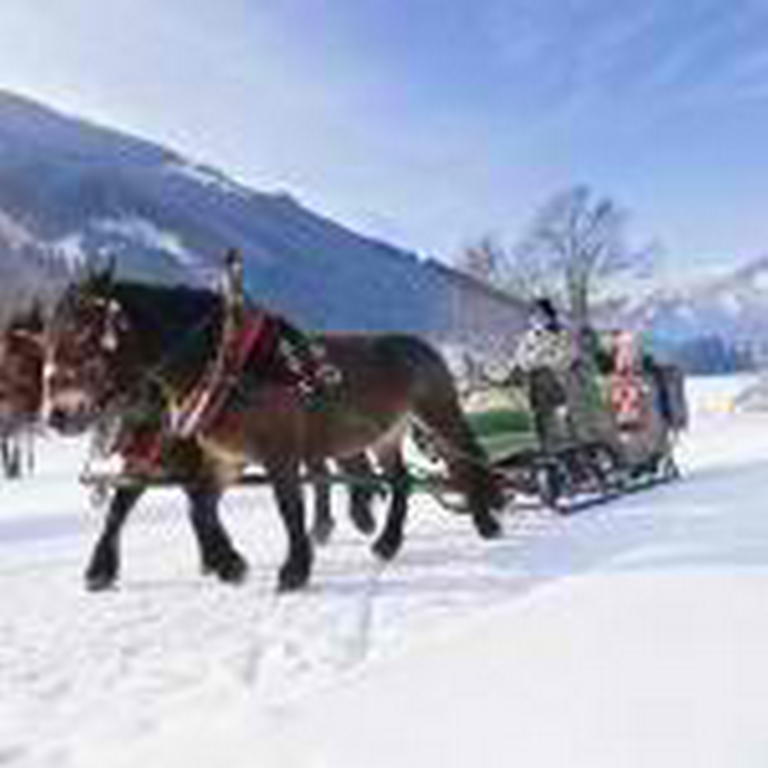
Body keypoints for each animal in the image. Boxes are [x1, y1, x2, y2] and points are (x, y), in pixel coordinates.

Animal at [46, 272, 504, 592]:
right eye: (49, 337)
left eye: (83, 335)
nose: (57, 414)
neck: (224, 366)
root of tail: (424, 347)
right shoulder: (223, 459)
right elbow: (197, 508)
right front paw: (229, 564)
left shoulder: (278, 454)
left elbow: (288, 508)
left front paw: (294, 570)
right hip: (386, 435)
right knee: (401, 480)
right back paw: (387, 542)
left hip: (437, 416)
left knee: (463, 464)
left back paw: (485, 522)